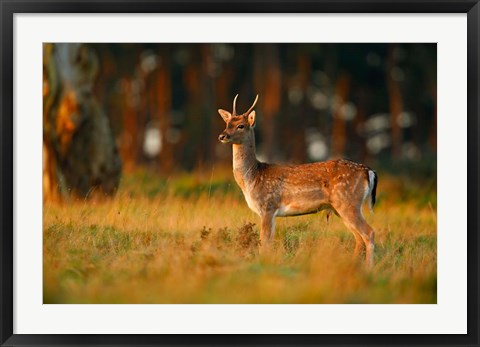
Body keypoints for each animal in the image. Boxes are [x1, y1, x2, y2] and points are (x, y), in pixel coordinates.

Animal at [218, 95, 378, 270]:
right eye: (227, 123)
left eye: (241, 125)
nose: (222, 136)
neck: (252, 178)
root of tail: (368, 171)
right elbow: (269, 242)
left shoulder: (268, 206)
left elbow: (264, 243)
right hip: (340, 207)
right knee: (359, 238)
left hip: (348, 202)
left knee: (369, 233)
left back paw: (369, 269)